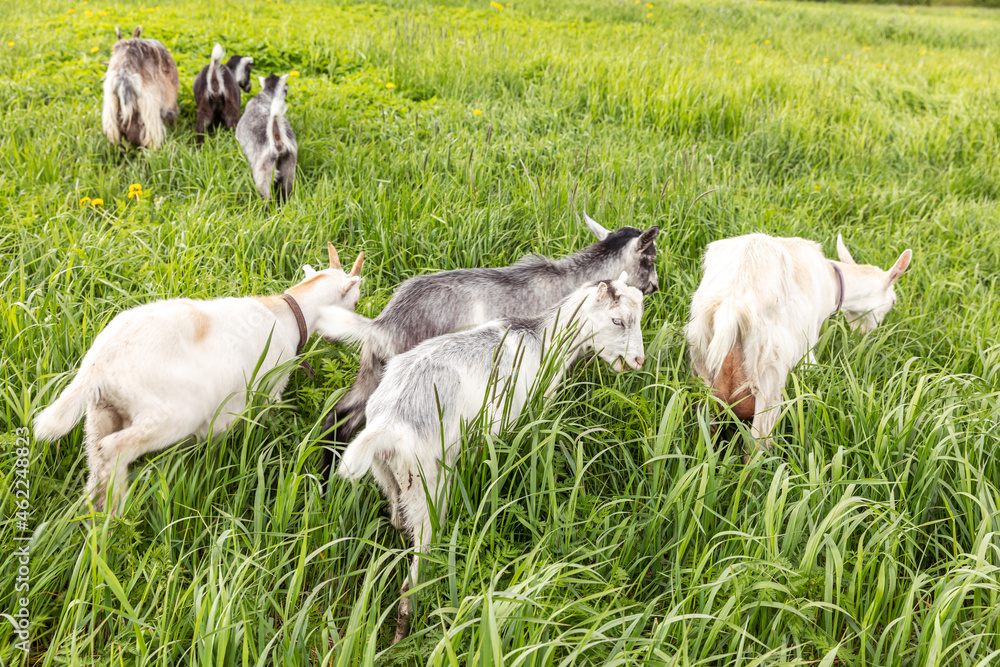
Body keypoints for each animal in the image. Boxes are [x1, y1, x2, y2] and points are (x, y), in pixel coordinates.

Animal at [34, 245, 364, 514]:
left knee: (97, 460)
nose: (343, 339)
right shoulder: (270, 387)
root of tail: (97, 366)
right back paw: (117, 512)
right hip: (172, 415)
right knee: (114, 448)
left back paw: (101, 516)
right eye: (356, 303)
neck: (287, 311)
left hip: (100, 414)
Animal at [235, 74, 297, 202]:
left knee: (266, 198)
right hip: (289, 169)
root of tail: (277, 140)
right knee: (286, 191)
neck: (267, 95)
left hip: (263, 174)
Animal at [317, 212, 660, 473]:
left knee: (339, 418)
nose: (656, 286)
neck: (570, 280)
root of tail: (381, 325)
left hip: (372, 374)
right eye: (650, 256)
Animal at [335, 273, 645, 643]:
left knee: (398, 522)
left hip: (390, 480)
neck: (544, 338)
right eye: (617, 321)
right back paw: (405, 634)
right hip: (428, 487)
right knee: (413, 574)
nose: (639, 361)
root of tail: (389, 423)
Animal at [686, 232, 912, 447]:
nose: (867, 335)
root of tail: (733, 306)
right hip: (770, 372)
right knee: (757, 443)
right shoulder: (807, 347)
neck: (832, 279)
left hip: (701, 358)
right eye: (893, 301)